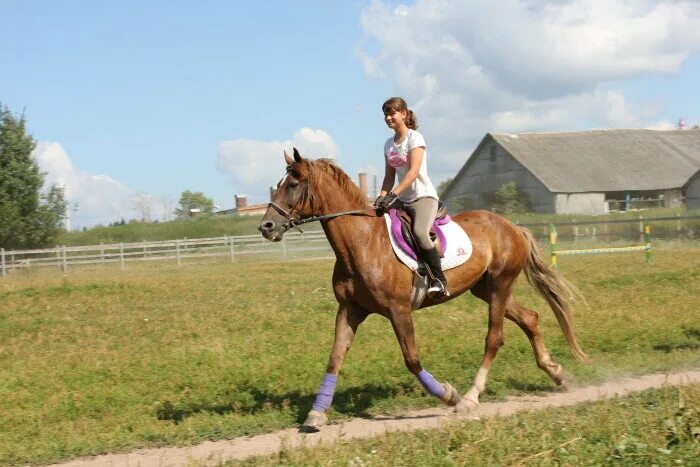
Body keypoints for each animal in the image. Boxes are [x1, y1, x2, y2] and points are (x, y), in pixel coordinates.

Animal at [258, 150, 584, 432]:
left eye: (293, 185)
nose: (266, 226)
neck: (361, 242)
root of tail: (513, 227)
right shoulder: (350, 310)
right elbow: (335, 357)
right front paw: (315, 416)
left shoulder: (398, 310)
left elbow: (412, 360)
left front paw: (449, 395)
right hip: (487, 289)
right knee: (530, 318)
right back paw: (557, 374)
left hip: (500, 284)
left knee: (494, 338)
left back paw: (469, 398)